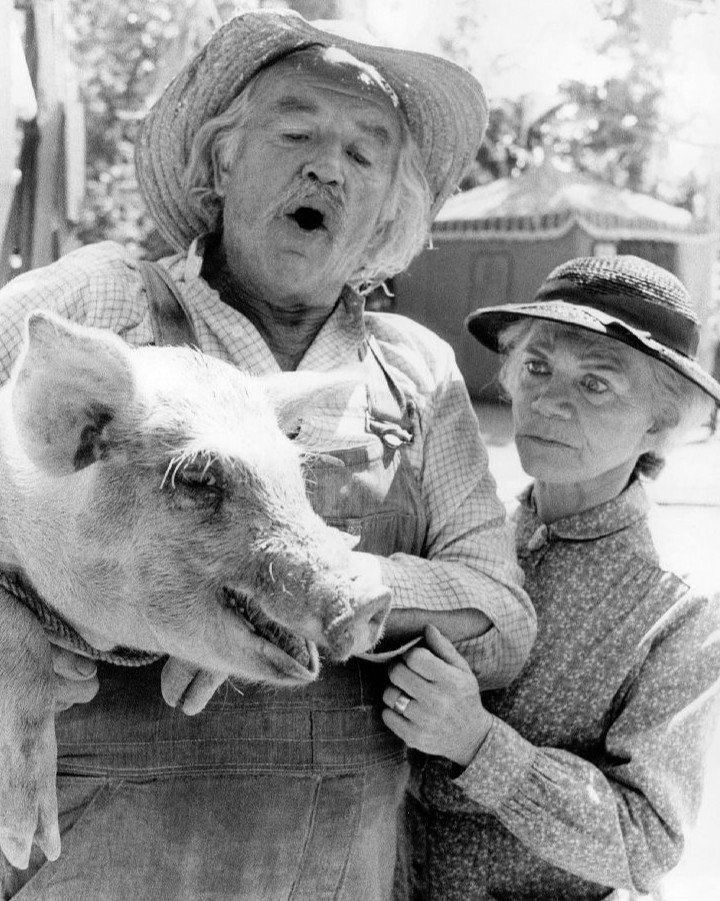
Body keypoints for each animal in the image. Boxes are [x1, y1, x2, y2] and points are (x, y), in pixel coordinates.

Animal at [0, 312, 390, 872]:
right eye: (198, 478)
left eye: (295, 476)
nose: (373, 600)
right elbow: (18, 632)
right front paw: (30, 846)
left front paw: (180, 694)